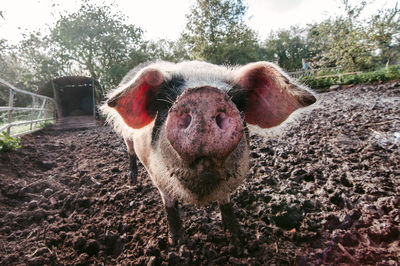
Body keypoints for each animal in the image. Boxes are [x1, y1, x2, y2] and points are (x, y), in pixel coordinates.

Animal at [101, 60, 318, 243]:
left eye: (236, 101)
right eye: (166, 102)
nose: (204, 96)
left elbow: (226, 201)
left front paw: (239, 236)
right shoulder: (155, 173)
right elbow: (168, 203)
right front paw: (176, 242)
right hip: (127, 137)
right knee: (129, 151)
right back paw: (132, 181)